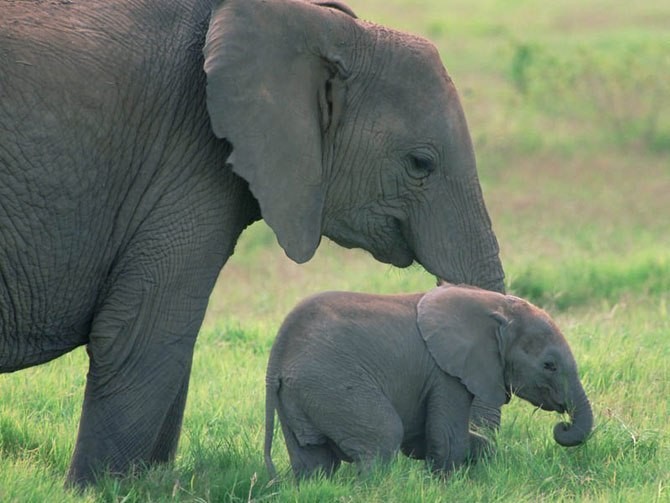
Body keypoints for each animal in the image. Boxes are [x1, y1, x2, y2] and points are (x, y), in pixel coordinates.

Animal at [0, 0, 504, 488]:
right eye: (421, 164)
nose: (476, 452)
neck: (322, 25)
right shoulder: (185, 161)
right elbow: (142, 335)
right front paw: (97, 490)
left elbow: (169, 346)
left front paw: (152, 483)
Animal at [266, 284, 596, 480]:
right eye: (549, 366)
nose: (563, 426)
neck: (496, 307)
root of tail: (278, 354)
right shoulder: (445, 373)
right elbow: (447, 439)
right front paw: (445, 485)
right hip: (332, 383)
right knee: (383, 438)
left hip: (300, 394)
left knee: (313, 462)